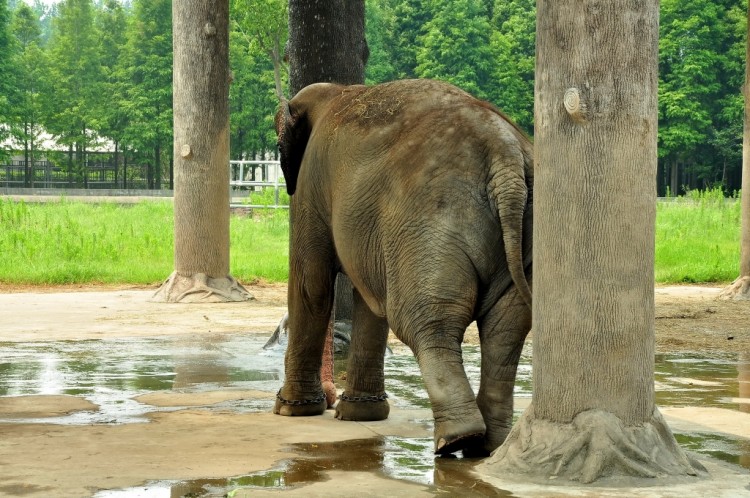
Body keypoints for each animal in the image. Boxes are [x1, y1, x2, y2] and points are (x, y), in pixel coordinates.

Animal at [274, 79, 536, 460]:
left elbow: (311, 283)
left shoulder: (311, 182)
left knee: (426, 320)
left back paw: (457, 440)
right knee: (505, 330)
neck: (337, 91)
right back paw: (488, 446)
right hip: (522, 230)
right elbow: (367, 301)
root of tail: (507, 156)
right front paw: (359, 415)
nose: (329, 398)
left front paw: (291, 410)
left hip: (431, 223)